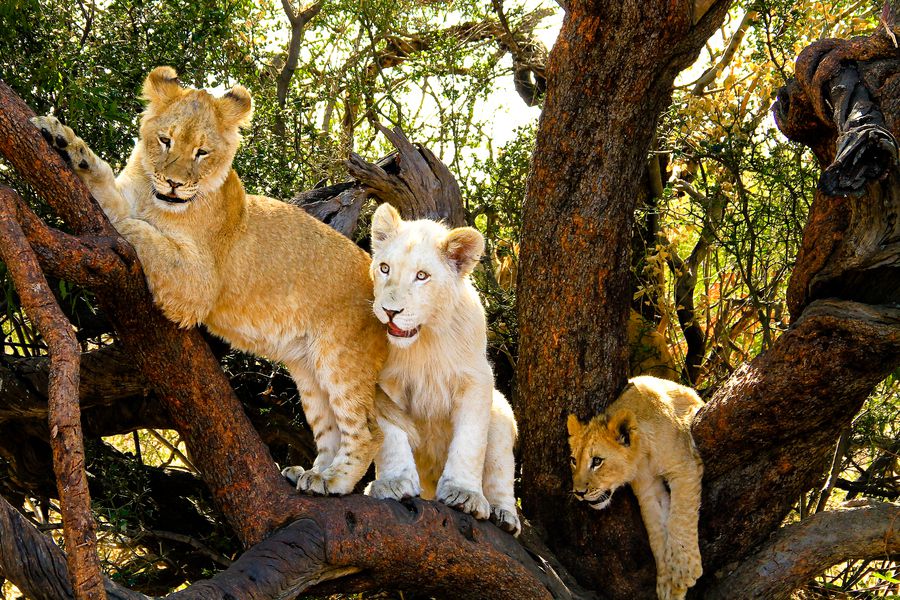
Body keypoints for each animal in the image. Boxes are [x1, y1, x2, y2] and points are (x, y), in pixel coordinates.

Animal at [31, 67, 387, 496]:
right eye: (165, 140)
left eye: (202, 152)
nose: (173, 183)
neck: (157, 200)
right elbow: (107, 192)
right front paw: (63, 141)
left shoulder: (198, 284)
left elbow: (138, 229)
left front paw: (128, 226)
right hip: (309, 370)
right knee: (331, 427)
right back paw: (312, 474)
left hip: (342, 357)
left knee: (367, 431)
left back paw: (333, 481)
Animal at [362, 203, 520, 535]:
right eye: (385, 268)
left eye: (422, 276)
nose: (390, 312)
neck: (424, 341)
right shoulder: (384, 381)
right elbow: (391, 434)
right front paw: (393, 483)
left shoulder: (476, 380)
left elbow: (470, 442)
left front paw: (465, 495)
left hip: (502, 415)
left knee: (500, 471)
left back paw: (504, 514)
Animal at [567, 376, 704, 600]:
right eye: (573, 460)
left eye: (597, 461)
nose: (579, 493)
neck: (643, 453)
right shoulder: (648, 490)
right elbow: (657, 533)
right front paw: (667, 584)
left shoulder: (684, 466)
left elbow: (679, 518)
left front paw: (684, 570)